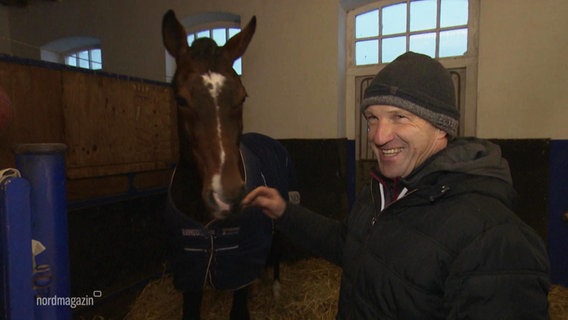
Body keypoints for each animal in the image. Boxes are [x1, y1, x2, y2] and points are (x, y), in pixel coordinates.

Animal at [161, 8, 300, 318]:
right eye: (181, 99)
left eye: (242, 96)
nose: (229, 197)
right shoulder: (189, 272)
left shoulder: (240, 266)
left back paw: (275, 289)